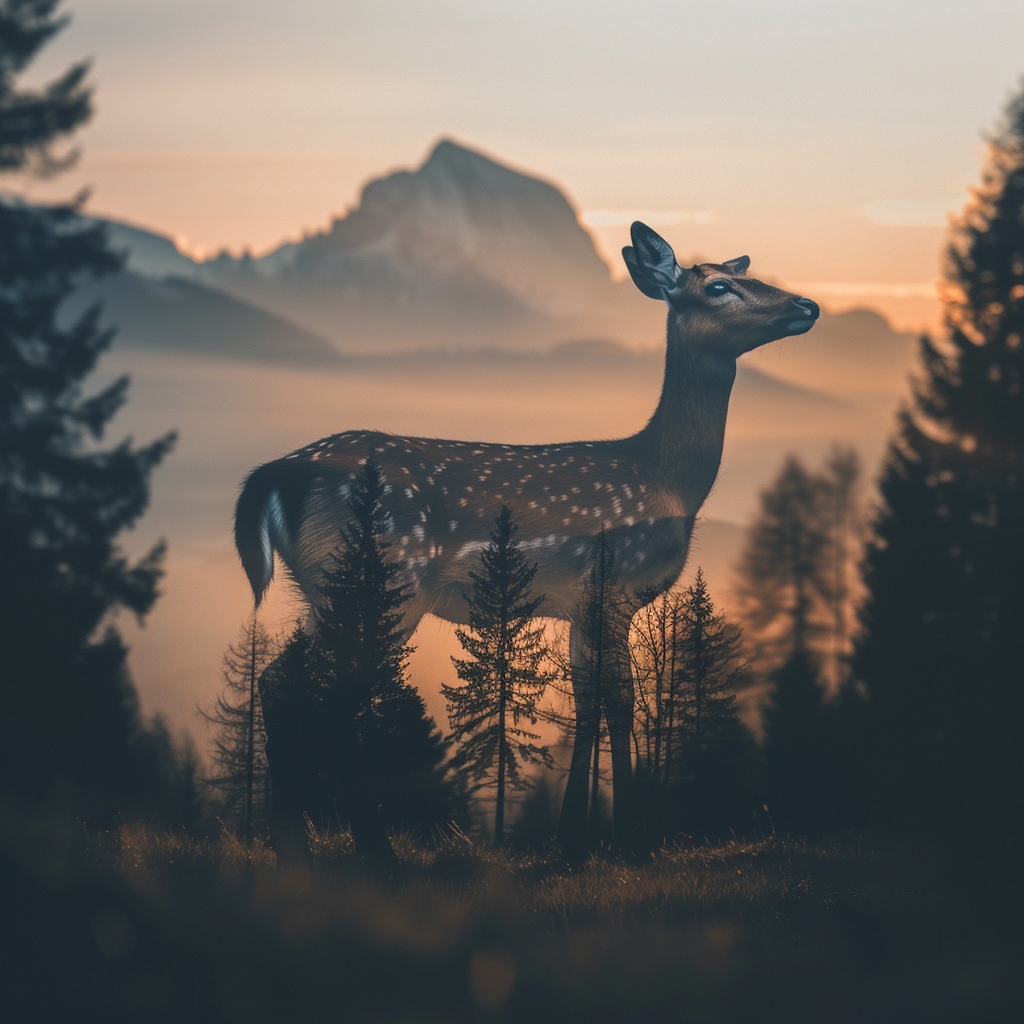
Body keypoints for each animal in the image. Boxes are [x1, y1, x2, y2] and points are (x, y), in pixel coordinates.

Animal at [234, 222, 815, 856]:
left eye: (742, 273)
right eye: (717, 286)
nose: (806, 305)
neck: (667, 483)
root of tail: (271, 476)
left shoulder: (584, 604)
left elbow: (587, 703)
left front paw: (572, 840)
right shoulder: (615, 585)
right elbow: (620, 701)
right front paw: (629, 835)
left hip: (327, 588)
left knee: (284, 680)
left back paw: (296, 843)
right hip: (384, 577)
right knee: (329, 690)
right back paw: (366, 849)